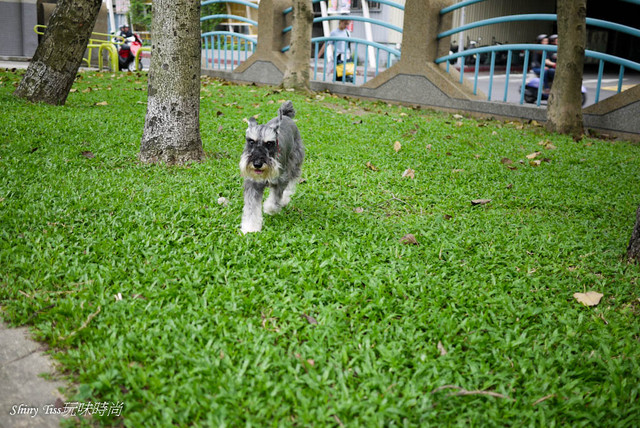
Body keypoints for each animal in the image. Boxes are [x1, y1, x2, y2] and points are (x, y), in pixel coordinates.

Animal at [239, 100, 304, 234]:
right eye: (251, 141)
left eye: (269, 143)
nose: (257, 164)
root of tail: (286, 116)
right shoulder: (253, 184)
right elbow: (251, 208)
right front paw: (250, 227)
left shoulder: (281, 180)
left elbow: (275, 198)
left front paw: (269, 208)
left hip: (294, 163)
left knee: (291, 182)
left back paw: (284, 199)